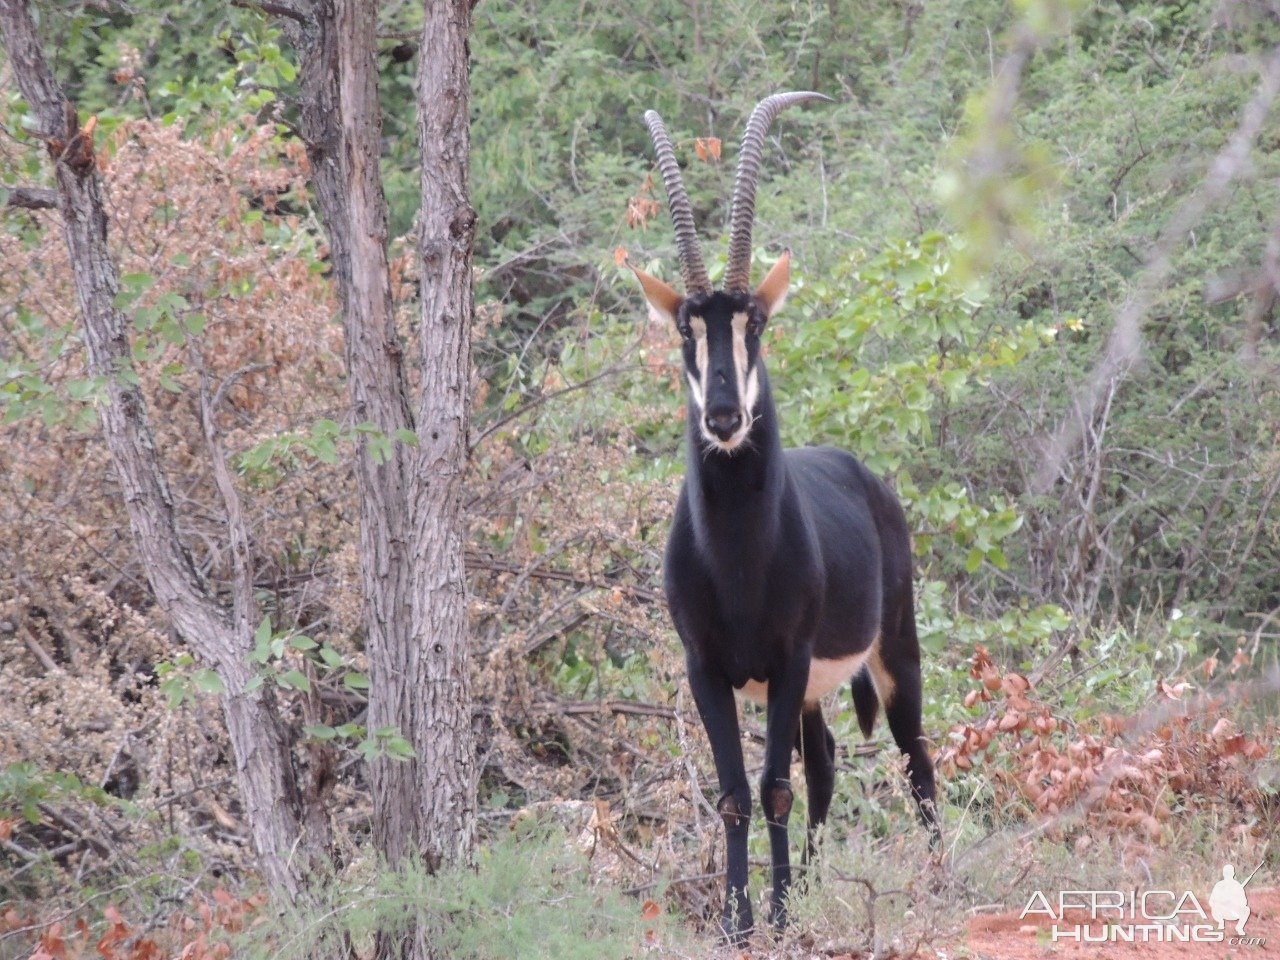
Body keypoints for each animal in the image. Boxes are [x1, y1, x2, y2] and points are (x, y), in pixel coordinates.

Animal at [632, 96, 942, 942]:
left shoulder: (788, 657)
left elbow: (773, 786)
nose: (725, 416)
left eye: (757, 324)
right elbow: (737, 792)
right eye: (687, 329)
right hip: (803, 692)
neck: (738, 556)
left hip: (890, 654)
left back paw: (942, 882)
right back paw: (805, 882)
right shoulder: (706, 667)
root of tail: (867, 478)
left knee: (915, 757)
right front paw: (741, 919)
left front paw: (768, 915)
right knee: (827, 761)